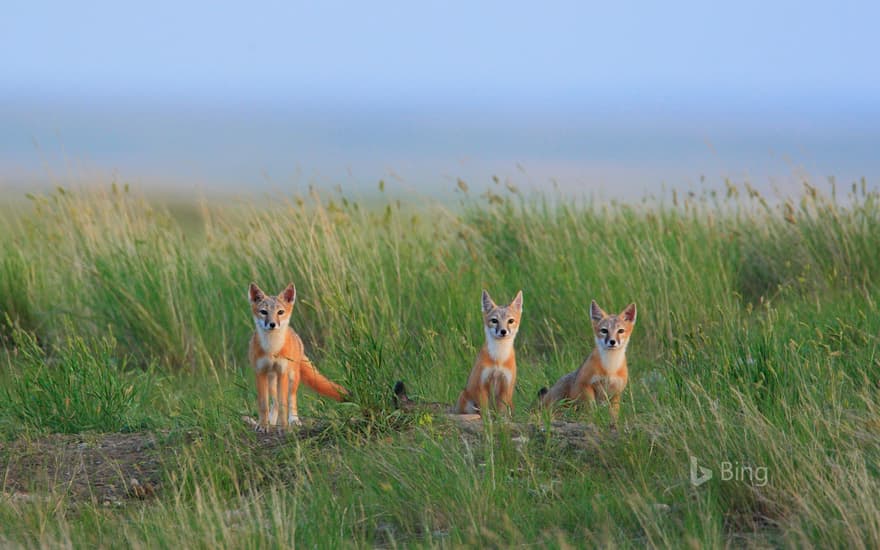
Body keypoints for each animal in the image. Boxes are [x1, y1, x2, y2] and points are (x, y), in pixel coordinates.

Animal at [248, 284, 348, 432]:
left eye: (280, 312)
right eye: (264, 312)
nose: (272, 324)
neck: (272, 349)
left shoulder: (282, 372)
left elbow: (284, 404)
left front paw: (284, 427)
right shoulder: (260, 373)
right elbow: (263, 405)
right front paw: (263, 425)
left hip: (292, 377)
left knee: (291, 399)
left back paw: (293, 420)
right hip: (271, 380)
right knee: (275, 403)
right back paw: (272, 421)